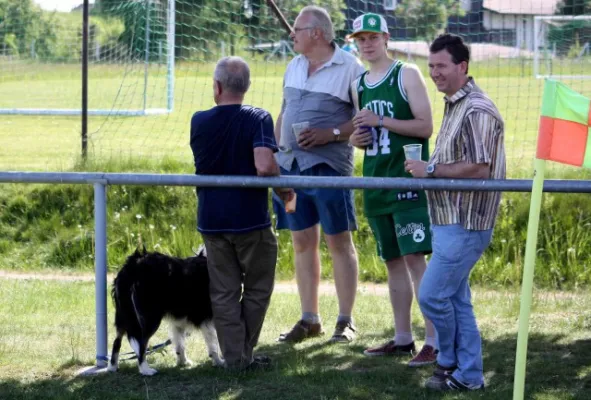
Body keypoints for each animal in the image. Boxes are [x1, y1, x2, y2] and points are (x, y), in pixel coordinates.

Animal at [106, 244, 224, 376]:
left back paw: (112, 367)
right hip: (149, 318)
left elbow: (179, 343)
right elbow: (213, 343)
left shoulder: (180, 319)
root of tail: (132, 265)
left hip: (124, 315)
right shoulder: (207, 316)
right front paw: (219, 361)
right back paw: (146, 370)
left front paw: (183, 362)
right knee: (142, 344)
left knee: (117, 341)